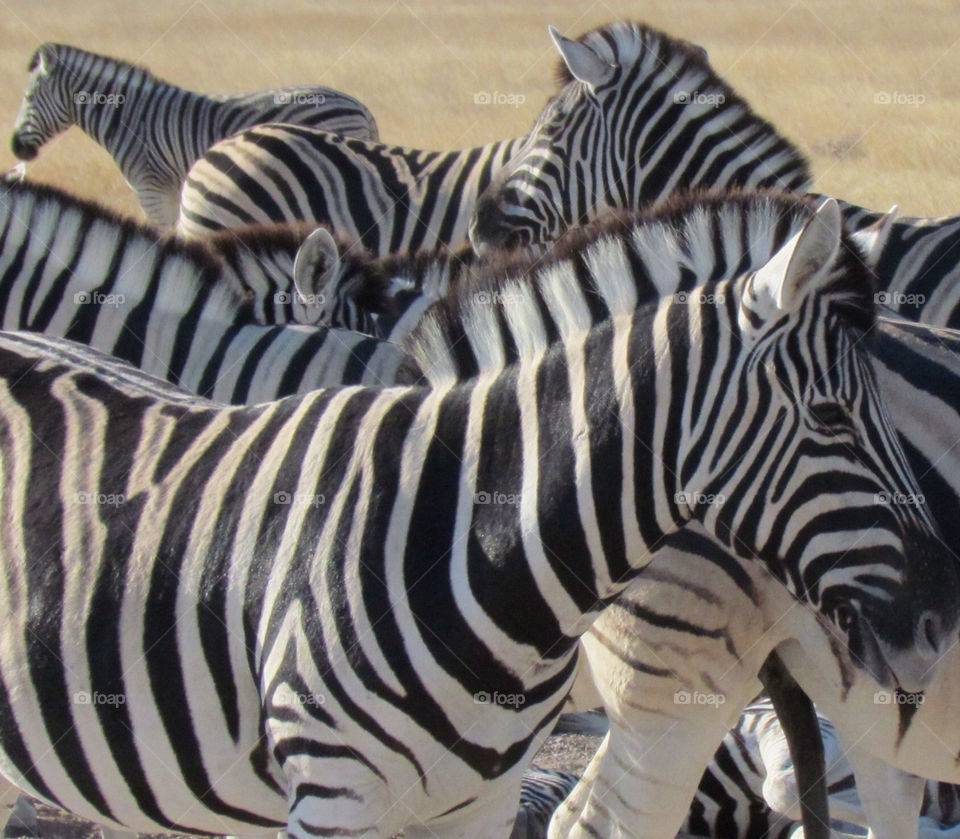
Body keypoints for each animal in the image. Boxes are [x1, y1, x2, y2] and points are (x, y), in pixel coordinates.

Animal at [10, 43, 379, 228]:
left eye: (27, 97)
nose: (15, 149)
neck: (127, 118)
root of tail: (360, 106)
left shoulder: (151, 188)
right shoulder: (172, 191)